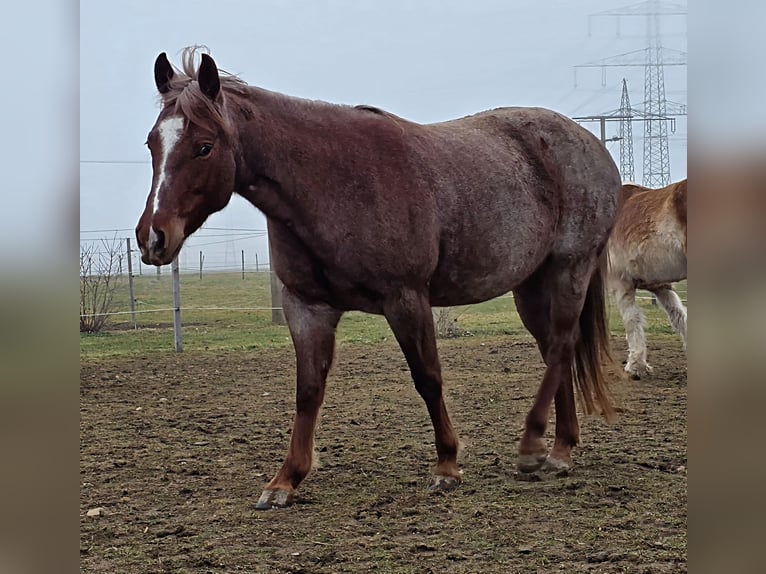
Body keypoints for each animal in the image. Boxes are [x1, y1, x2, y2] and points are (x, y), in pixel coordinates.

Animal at [135, 47, 622, 509]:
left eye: (204, 146)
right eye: (152, 143)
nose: (153, 237)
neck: (333, 183)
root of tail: (590, 144)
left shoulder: (405, 299)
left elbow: (428, 378)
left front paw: (447, 465)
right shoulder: (307, 306)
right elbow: (308, 390)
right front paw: (285, 480)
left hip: (570, 267)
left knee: (561, 345)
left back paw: (534, 444)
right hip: (532, 285)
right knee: (555, 351)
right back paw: (559, 449)